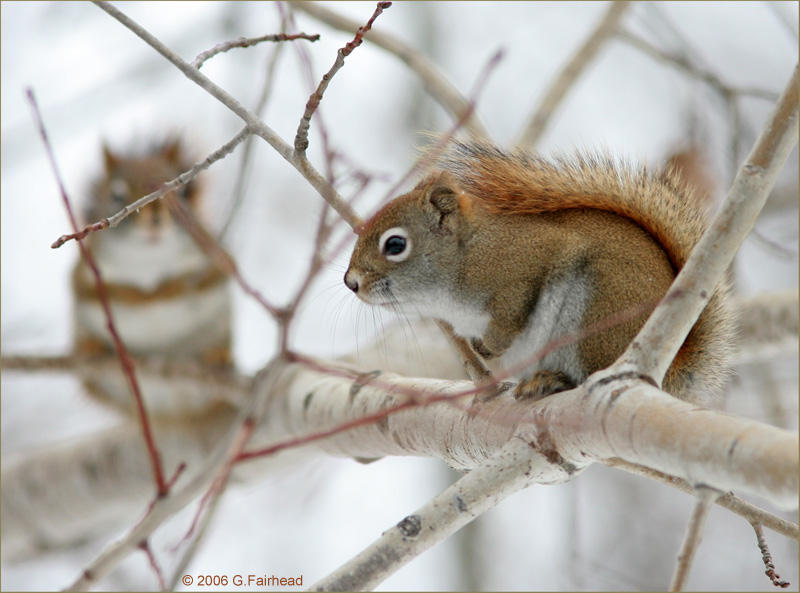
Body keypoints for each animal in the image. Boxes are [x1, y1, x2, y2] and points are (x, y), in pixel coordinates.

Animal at [72, 138, 231, 416]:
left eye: (182, 193)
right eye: (116, 194)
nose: (155, 218)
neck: (149, 262)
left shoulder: (214, 257)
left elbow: (202, 278)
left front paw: (163, 290)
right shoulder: (84, 274)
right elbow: (107, 290)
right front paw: (138, 296)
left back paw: (217, 356)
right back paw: (90, 347)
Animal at [344, 142, 732, 402]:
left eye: (395, 244)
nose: (351, 282)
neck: (465, 258)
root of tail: (668, 370)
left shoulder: (529, 261)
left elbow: (512, 313)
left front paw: (490, 345)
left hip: (595, 317)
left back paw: (553, 381)